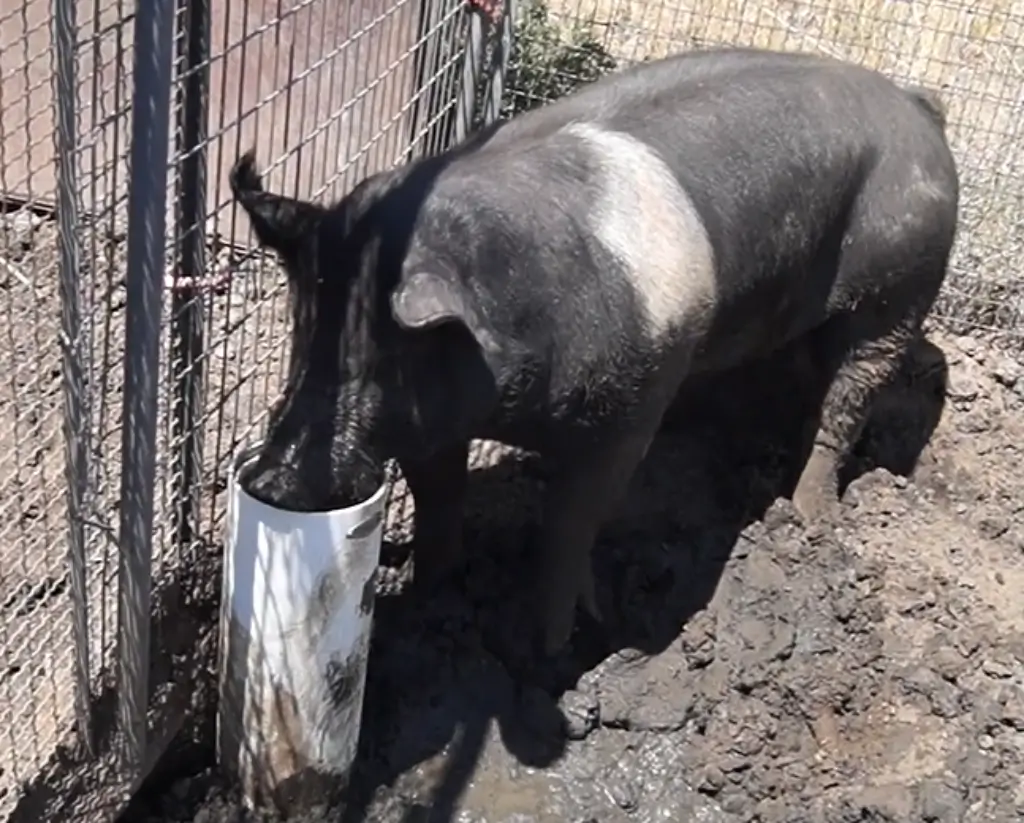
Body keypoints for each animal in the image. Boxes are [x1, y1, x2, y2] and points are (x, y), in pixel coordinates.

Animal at [230, 46, 959, 657]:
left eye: (376, 356)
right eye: (302, 332)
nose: (270, 482)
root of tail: (917, 107)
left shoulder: (633, 404)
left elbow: (571, 523)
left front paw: (552, 649)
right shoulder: (430, 424)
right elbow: (440, 499)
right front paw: (427, 595)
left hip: (899, 287)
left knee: (851, 396)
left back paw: (807, 516)